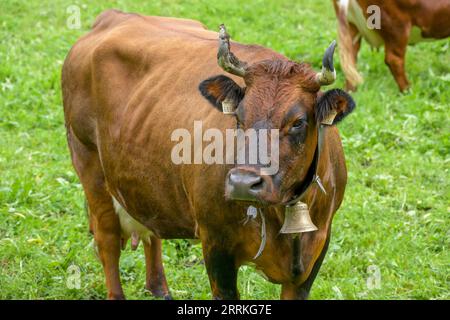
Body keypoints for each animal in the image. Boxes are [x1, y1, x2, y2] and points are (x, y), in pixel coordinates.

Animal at [61, 10, 356, 300]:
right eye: (238, 117)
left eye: (298, 122)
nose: (243, 183)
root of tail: (113, 16)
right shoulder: (216, 246)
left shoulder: (315, 252)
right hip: (88, 164)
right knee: (107, 240)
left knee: (151, 232)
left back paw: (160, 289)